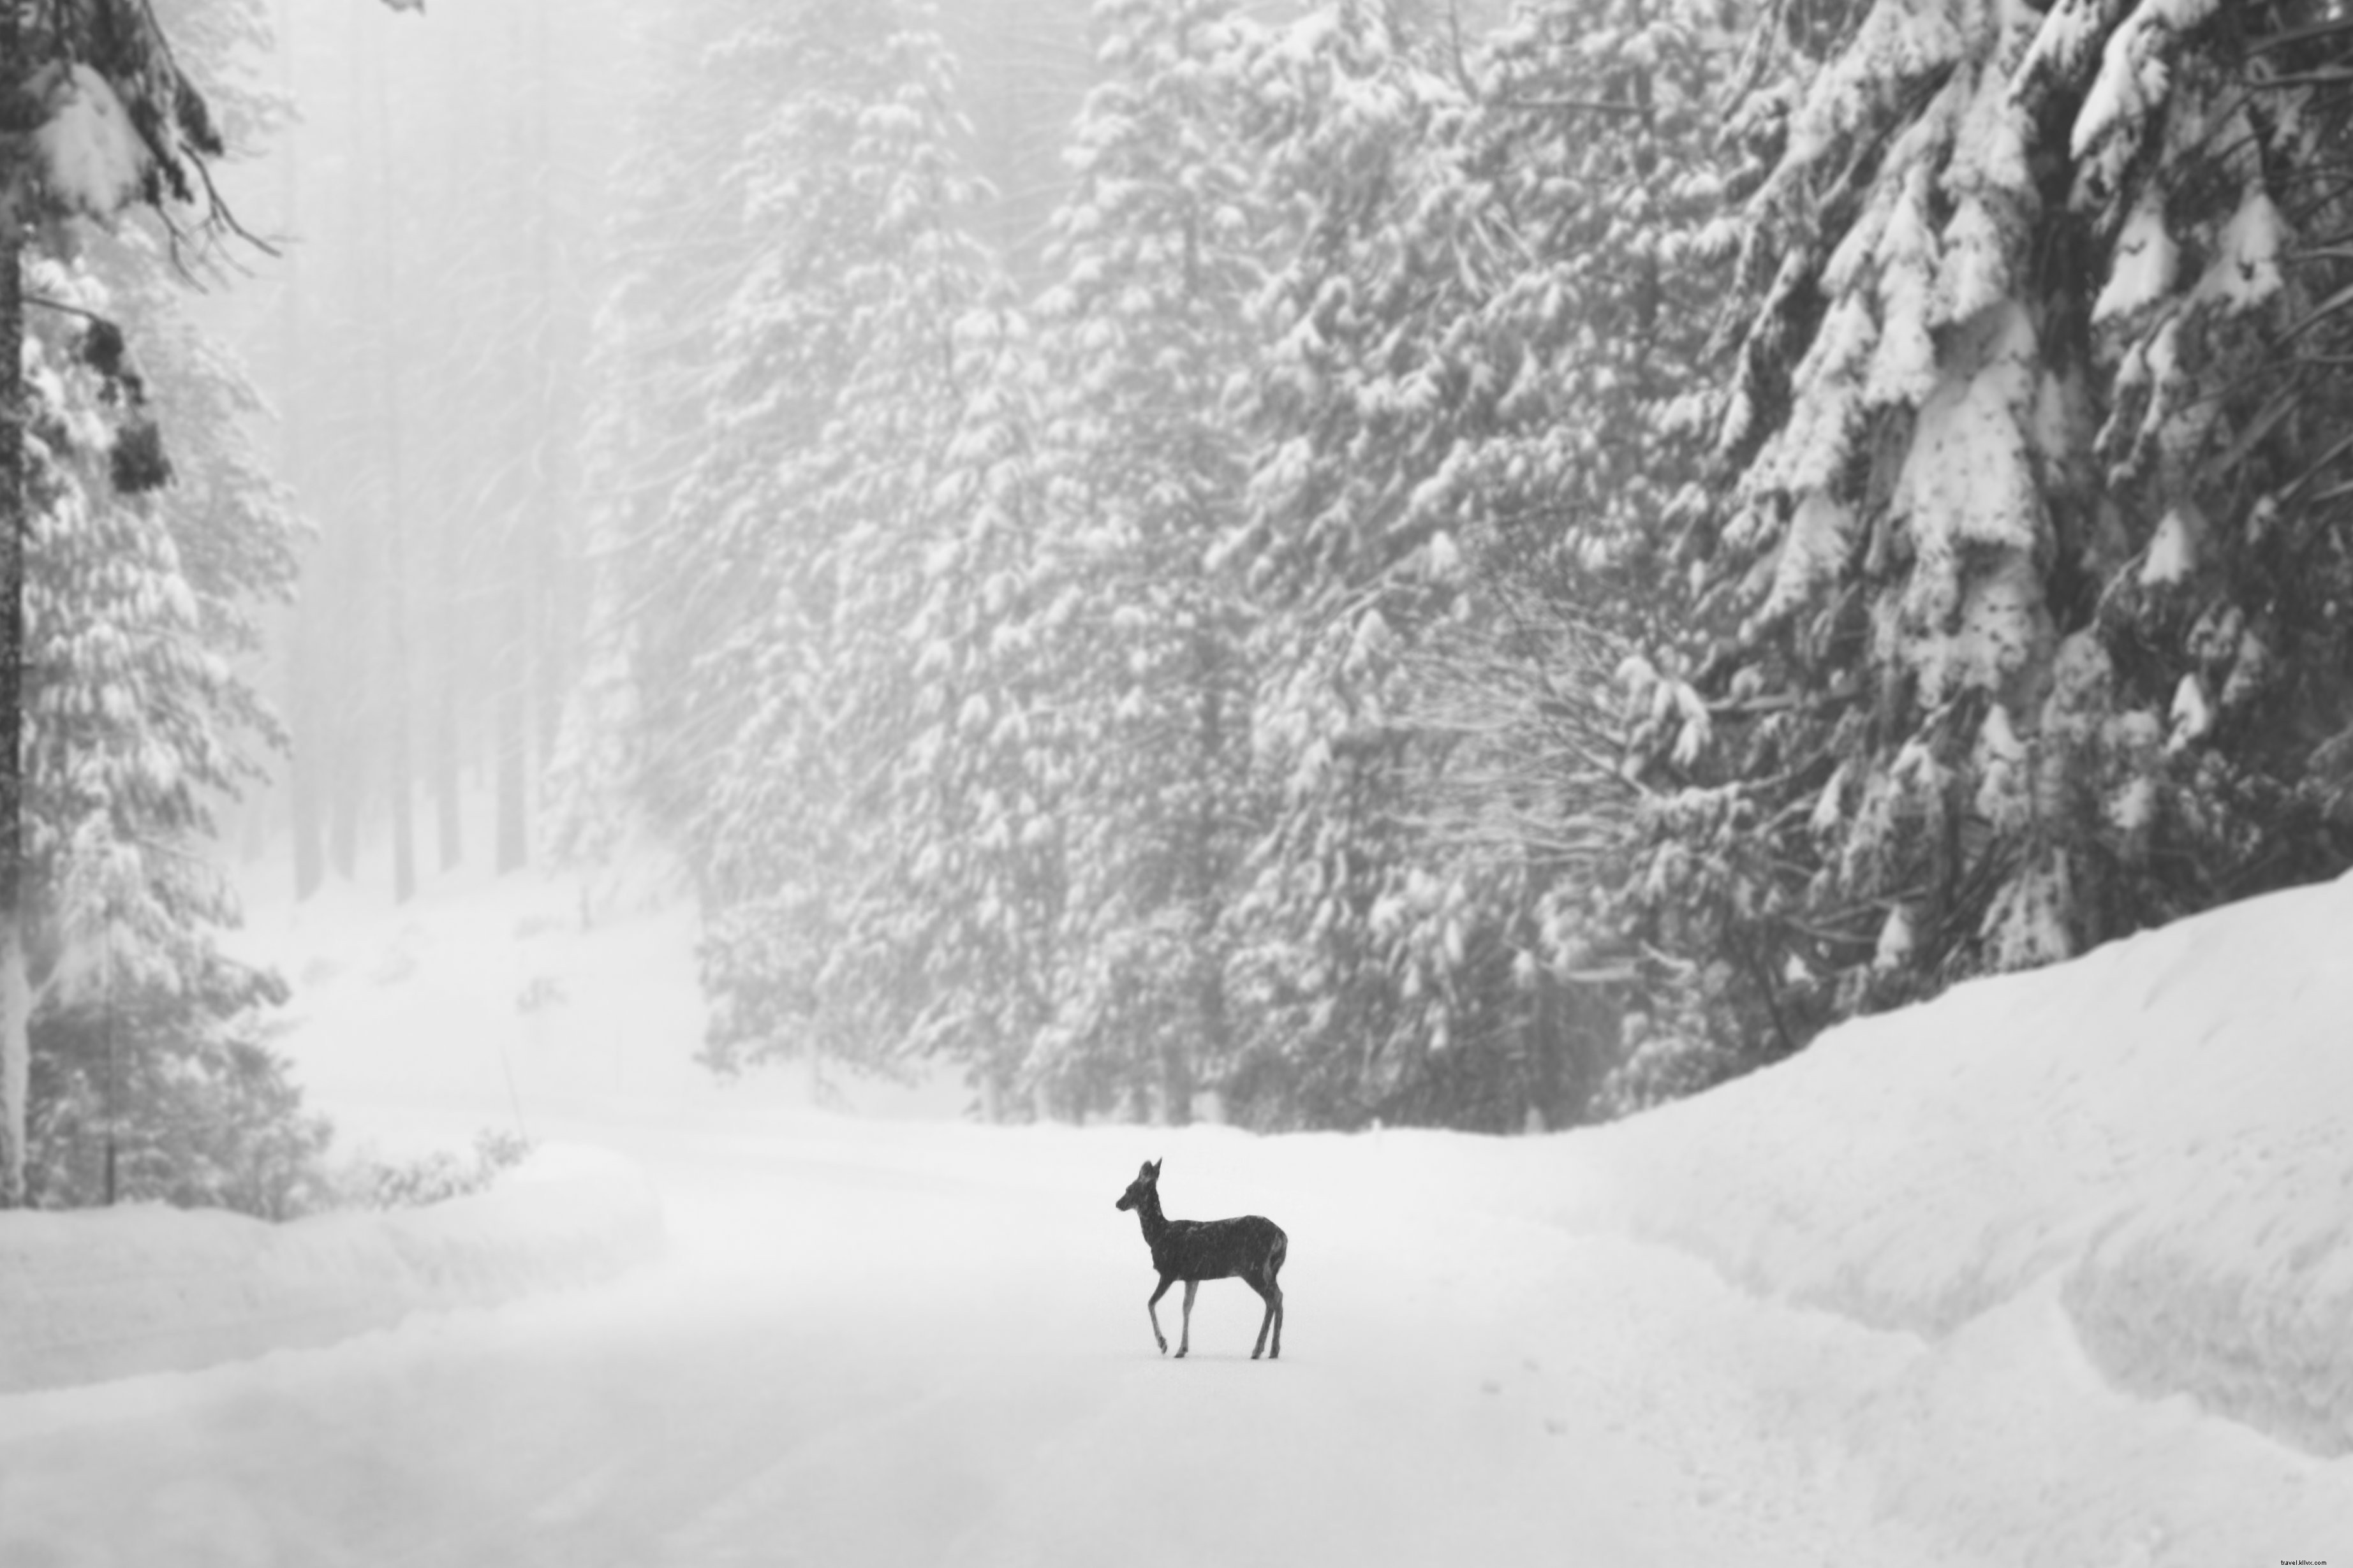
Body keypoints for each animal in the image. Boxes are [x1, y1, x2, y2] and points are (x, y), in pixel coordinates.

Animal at [1113, 1158, 1286, 1360]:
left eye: (1129, 1189)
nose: (1118, 1203)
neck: (1159, 1234)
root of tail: (1283, 1238)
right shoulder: (1192, 1276)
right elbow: (1186, 1308)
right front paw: (1182, 1349)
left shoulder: (1169, 1271)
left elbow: (1151, 1302)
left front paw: (1164, 1344)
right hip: (1268, 1270)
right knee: (1276, 1298)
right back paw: (1270, 1350)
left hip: (1254, 1268)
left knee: (1274, 1298)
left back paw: (1261, 1350)